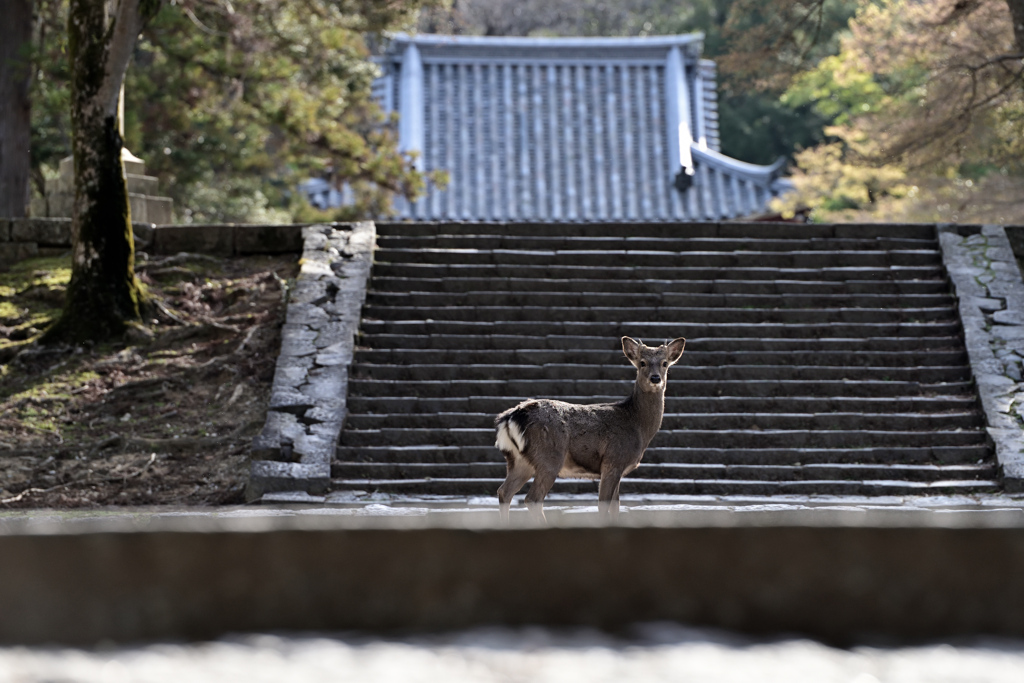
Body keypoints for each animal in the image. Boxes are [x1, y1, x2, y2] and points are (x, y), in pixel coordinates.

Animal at [491, 333, 684, 520]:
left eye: (664, 363)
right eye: (642, 362)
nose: (655, 378)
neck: (637, 426)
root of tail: (511, 417)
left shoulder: (618, 468)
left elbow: (616, 507)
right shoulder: (614, 461)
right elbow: (603, 506)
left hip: (519, 459)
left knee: (504, 491)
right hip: (549, 456)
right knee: (532, 498)